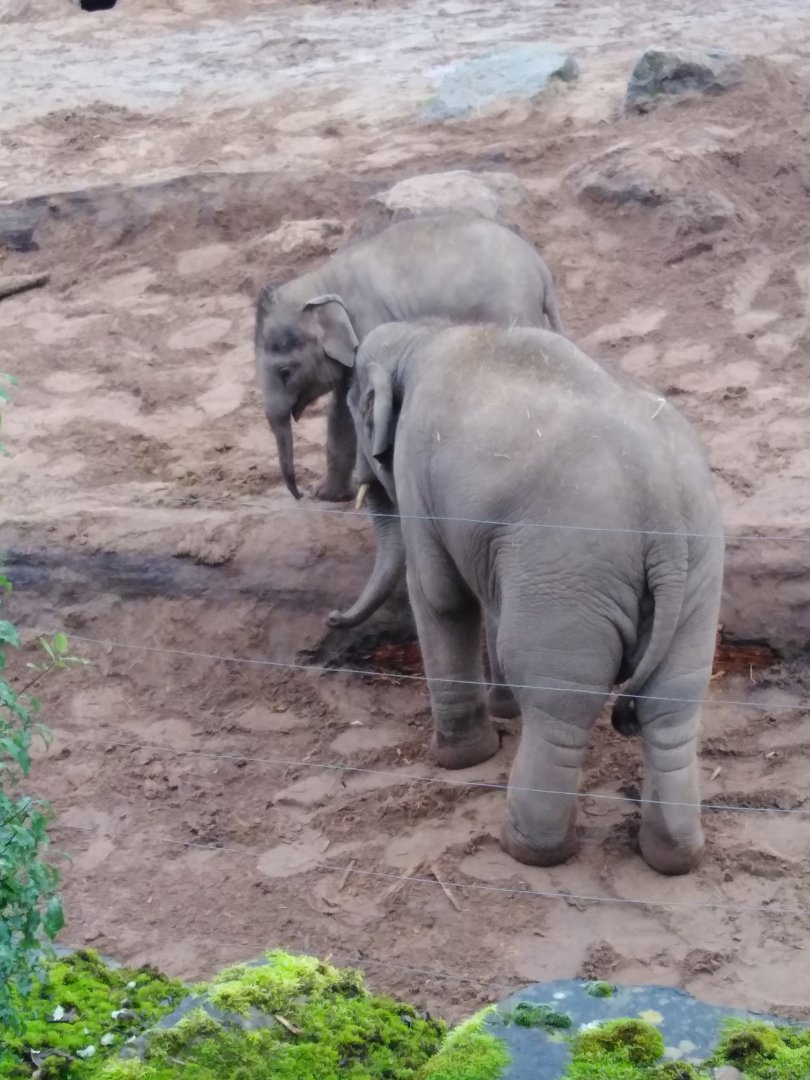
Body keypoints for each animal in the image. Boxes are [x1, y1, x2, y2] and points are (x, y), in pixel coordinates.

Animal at [254, 212, 564, 502]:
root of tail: (540, 267)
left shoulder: (368, 325)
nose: (299, 494)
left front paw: (325, 495)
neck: (320, 282)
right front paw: (328, 493)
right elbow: (340, 411)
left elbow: (346, 415)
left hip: (512, 307)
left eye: (285, 372)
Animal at [340, 320, 724, 876]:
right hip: (696, 572)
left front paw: (463, 758)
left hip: (569, 566)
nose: (333, 617)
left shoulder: (416, 461)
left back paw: (528, 849)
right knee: (672, 705)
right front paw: (504, 715)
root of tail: (665, 517)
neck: (425, 332)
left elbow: (439, 593)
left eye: (353, 407)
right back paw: (673, 857)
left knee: (560, 705)